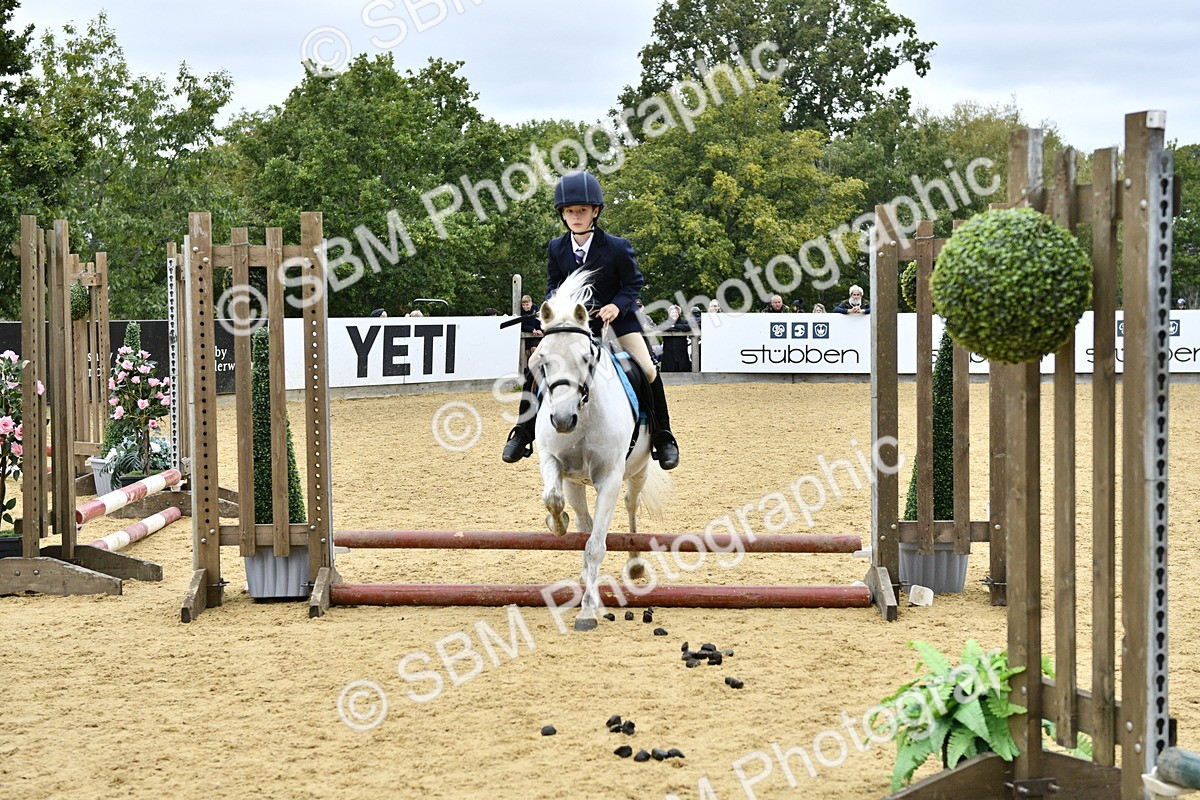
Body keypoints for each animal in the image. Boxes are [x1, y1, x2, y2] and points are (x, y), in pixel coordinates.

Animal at [528, 269, 670, 631]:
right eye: (542, 360)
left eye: (585, 357)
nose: (563, 420)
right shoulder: (552, 460)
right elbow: (553, 500)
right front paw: (556, 523)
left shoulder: (610, 478)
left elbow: (596, 545)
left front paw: (588, 611)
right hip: (576, 482)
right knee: (583, 519)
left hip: (638, 471)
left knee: (631, 506)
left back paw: (635, 564)